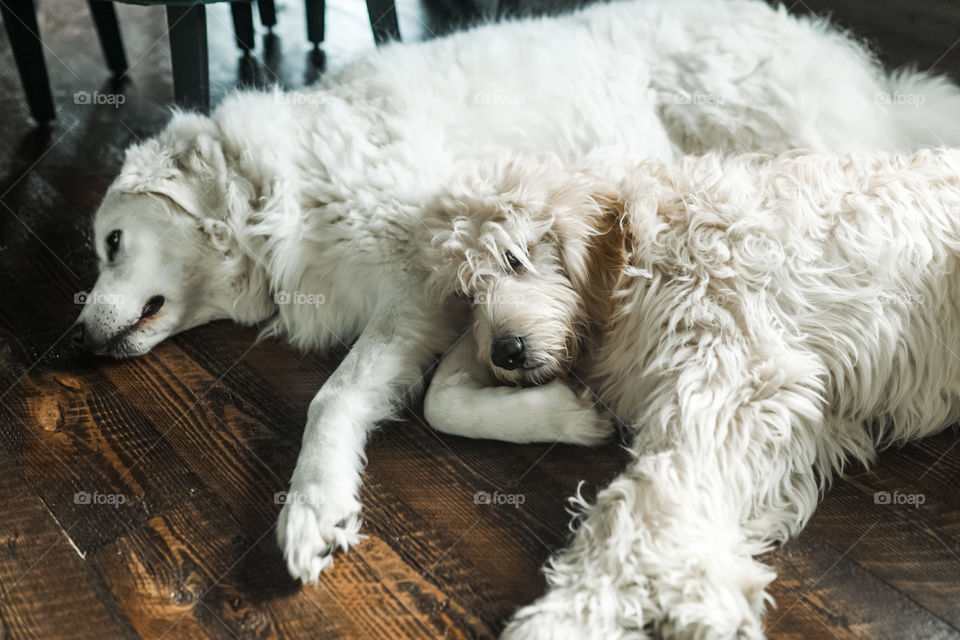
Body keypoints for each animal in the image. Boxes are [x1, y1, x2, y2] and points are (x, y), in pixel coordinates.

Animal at [422, 148, 960, 636]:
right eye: (468, 292)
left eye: (515, 257)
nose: (506, 351)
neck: (638, 255)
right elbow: (437, 403)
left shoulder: (737, 374)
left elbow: (649, 494)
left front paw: (576, 611)